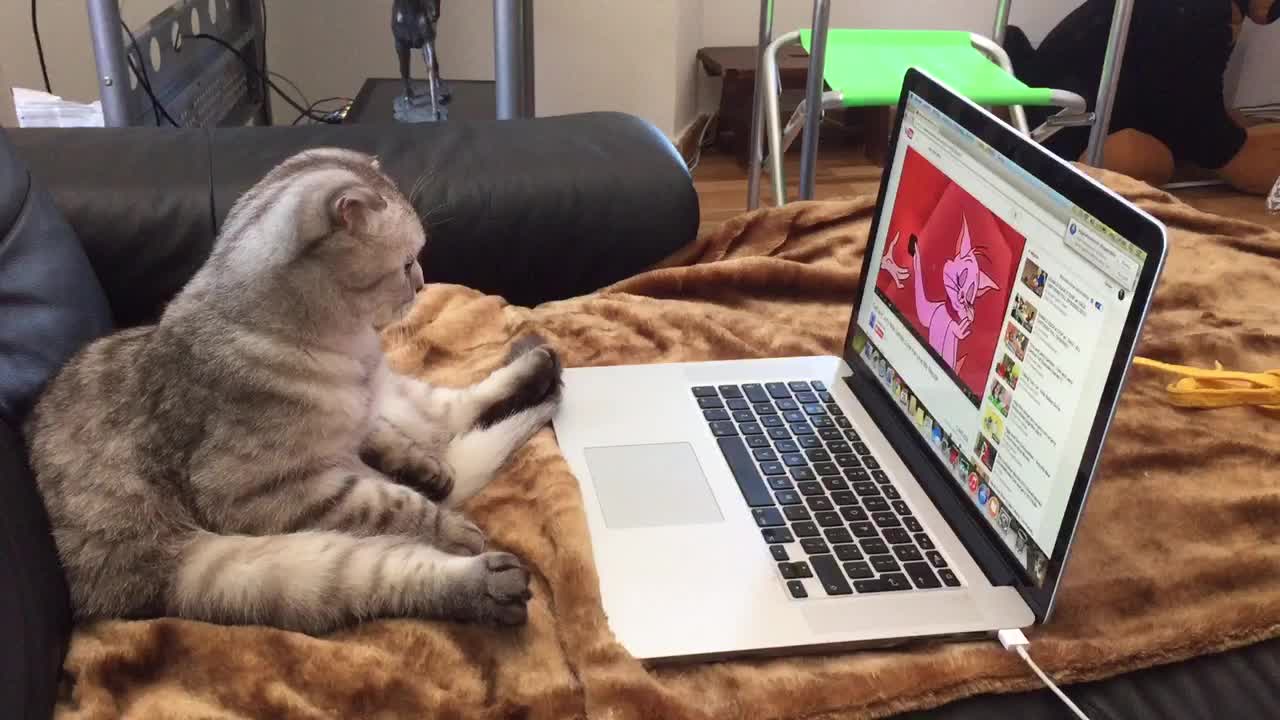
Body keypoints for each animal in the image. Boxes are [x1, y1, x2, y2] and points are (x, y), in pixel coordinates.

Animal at [23, 148, 560, 630]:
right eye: (409, 263)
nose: (424, 283)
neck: (355, 350)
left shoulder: (367, 412)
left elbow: (390, 438)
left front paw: (425, 470)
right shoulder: (273, 491)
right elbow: (397, 504)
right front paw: (443, 518)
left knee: (453, 409)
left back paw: (539, 363)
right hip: (246, 569)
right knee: (397, 561)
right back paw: (491, 581)